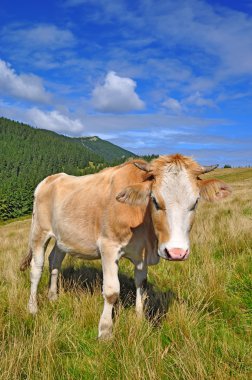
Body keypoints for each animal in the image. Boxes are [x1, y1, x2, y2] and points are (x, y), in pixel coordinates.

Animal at [20, 154, 231, 338]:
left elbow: (141, 285)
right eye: (155, 200)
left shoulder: (141, 255)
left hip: (62, 238)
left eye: (195, 202)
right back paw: (32, 308)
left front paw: (139, 319)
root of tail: (51, 178)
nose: (176, 252)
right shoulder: (108, 246)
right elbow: (112, 291)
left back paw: (53, 297)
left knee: (55, 261)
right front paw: (105, 331)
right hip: (39, 232)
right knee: (36, 269)